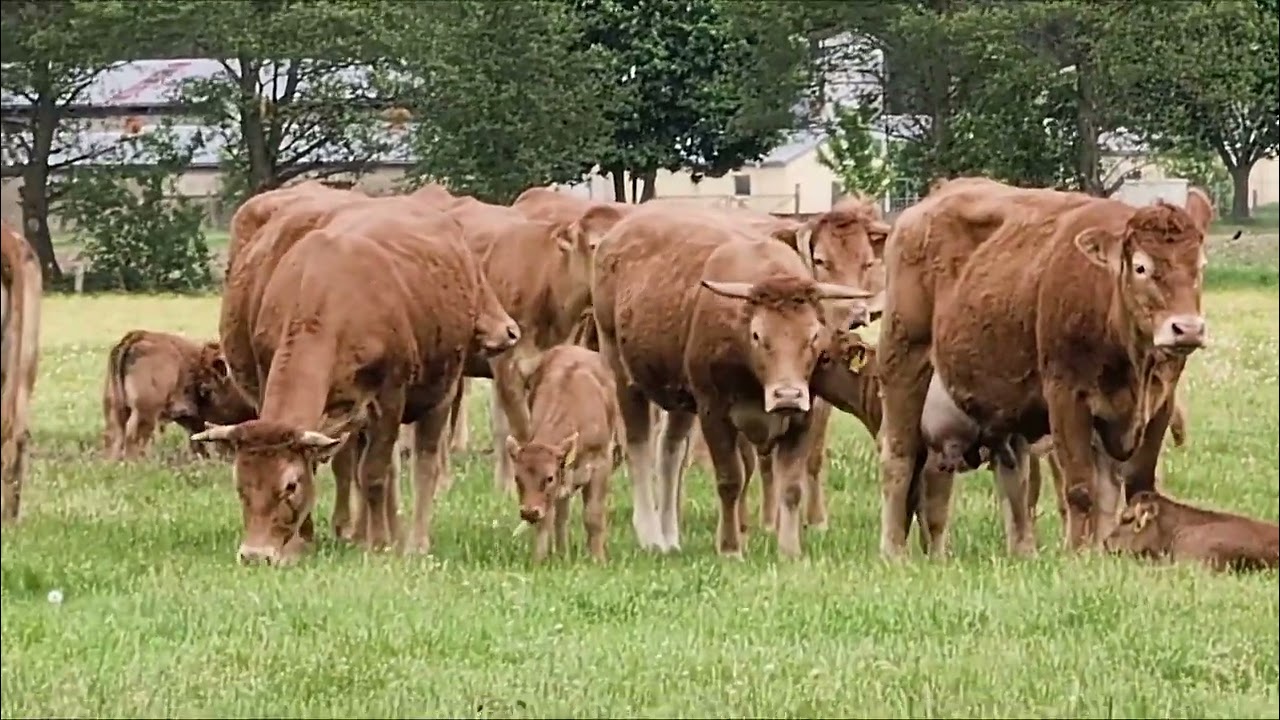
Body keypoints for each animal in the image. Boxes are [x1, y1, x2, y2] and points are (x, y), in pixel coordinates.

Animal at [193, 196, 519, 565]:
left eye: (289, 486)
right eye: (241, 485)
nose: (254, 554)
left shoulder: (390, 396)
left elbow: (373, 473)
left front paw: (377, 544)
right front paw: (299, 543)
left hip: (441, 393)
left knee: (424, 465)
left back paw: (414, 542)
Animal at [506, 345, 620, 562]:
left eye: (549, 477)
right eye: (516, 478)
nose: (529, 512)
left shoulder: (601, 464)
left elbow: (593, 515)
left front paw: (598, 559)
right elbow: (548, 520)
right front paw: (539, 560)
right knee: (561, 516)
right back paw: (561, 554)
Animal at [592, 205, 869, 558]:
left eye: (812, 336)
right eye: (757, 335)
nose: (787, 395)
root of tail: (614, 236)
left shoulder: (803, 418)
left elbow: (791, 486)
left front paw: (790, 550)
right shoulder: (714, 411)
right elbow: (730, 479)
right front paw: (730, 548)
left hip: (680, 396)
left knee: (669, 451)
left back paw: (670, 537)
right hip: (624, 375)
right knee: (639, 447)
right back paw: (651, 535)